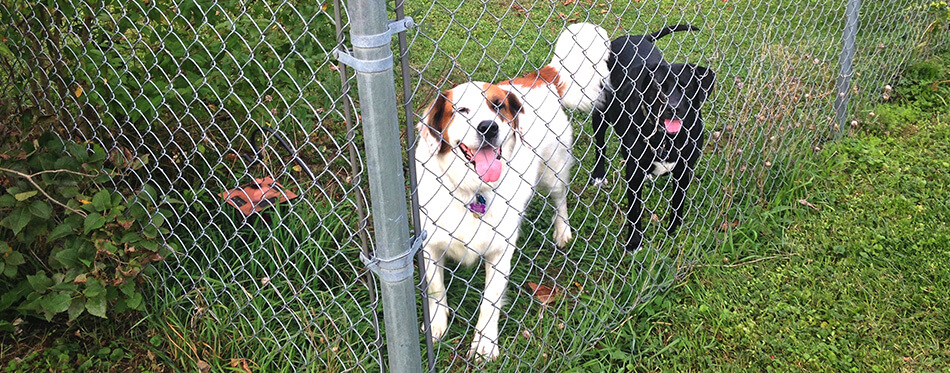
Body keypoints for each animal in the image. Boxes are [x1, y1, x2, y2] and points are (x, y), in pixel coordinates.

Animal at [410, 23, 608, 360]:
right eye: (461, 110)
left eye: (497, 106)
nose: (488, 127)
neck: (471, 190)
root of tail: (540, 77)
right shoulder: (430, 245)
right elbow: (435, 291)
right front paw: (436, 326)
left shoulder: (500, 250)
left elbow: (490, 302)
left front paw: (485, 343)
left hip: (553, 173)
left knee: (560, 200)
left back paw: (562, 231)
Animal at [592, 22, 716, 250]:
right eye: (658, 86)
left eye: (686, 86)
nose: (672, 108)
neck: (667, 139)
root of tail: (634, 37)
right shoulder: (633, 173)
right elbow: (634, 210)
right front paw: (634, 243)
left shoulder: (684, 169)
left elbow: (678, 203)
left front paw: (673, 231)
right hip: (602, 110)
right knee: (600, 143)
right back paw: (598, 174)